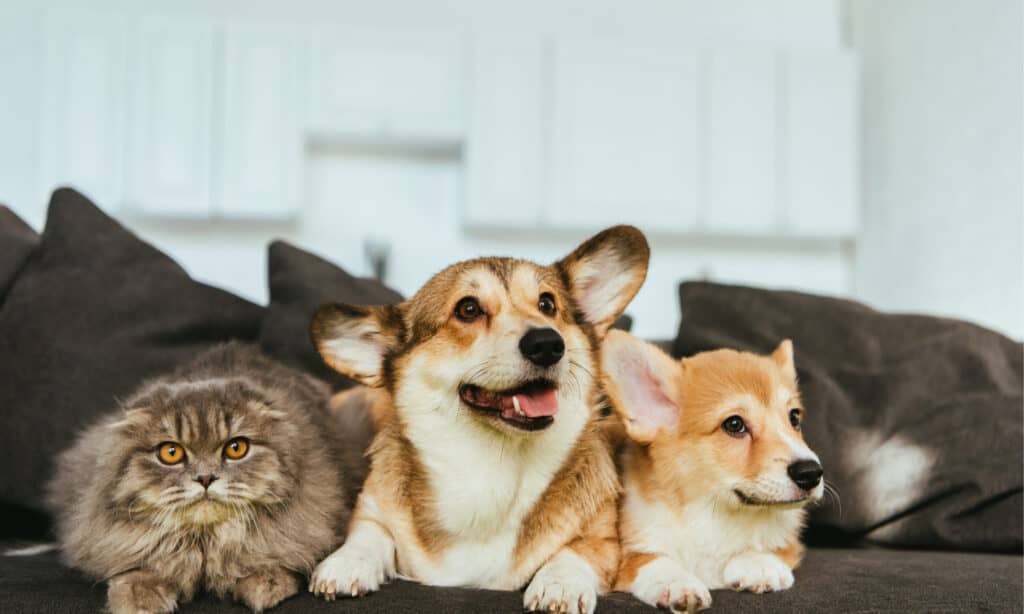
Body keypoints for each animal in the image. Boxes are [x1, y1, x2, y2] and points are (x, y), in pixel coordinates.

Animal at [47, 343, 372, 609]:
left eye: (236, 448)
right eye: (171, 453)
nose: (205, 478)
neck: (204, 543)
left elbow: (272, 554)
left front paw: (263, 585)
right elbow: (136, 568)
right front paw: (139, 600)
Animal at [303, 226, 647, 614]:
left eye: (548, 304)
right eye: (468, 309)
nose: (547, 343)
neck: (492, 467)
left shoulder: (603, 539)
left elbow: (575, 552)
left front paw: (560, 584)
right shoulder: (371, 509)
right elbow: (368, 534)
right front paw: (346, 563)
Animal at [598, 333, 823, 609]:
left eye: (794, 418)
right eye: (734, 424)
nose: (812, 473)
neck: (713, 514)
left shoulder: (788, 544)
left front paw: (759, 564)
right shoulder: (623, 558)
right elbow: (651, 559)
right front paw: (677, 582)